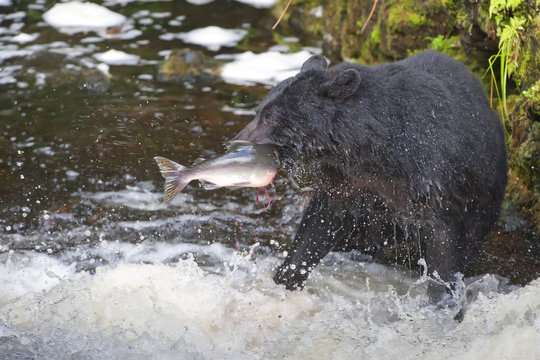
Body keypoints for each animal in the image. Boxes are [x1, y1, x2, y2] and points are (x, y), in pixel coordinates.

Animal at [234, 50, 508, 292]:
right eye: (259, 112)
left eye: (270, 117)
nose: (237, 141)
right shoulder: (347, 180)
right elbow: (318, 224)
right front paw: (285, 277)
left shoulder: (436, 177)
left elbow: (445, 244)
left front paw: (442, 297)